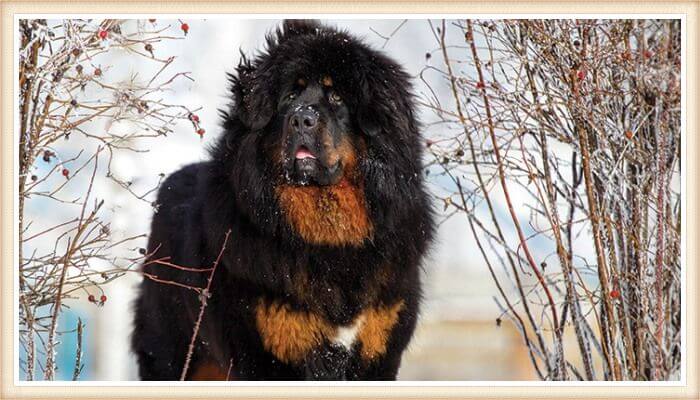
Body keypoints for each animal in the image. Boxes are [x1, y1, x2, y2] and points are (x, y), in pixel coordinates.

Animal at [131, 19, 432, 382]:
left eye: (336, 97)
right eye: (290, 96)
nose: (302, 118)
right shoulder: (269, 354)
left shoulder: (379, 351)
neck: (329, 241)